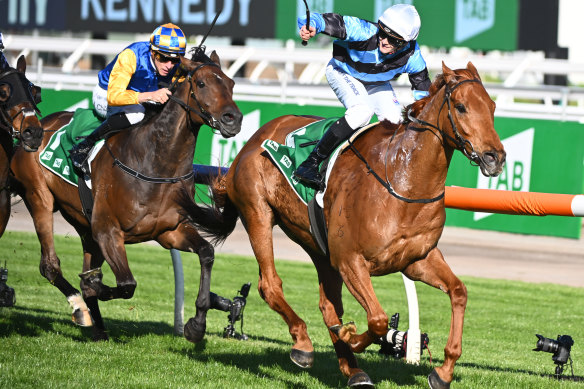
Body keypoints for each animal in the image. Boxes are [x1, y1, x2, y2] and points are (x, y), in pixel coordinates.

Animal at [9, 50, 242, 340]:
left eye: (231, 84)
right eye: (201, 84)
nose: (233, 119)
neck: (155, 164)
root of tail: (36, 126)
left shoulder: (169, 231)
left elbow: (206, 253)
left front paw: (196, 324)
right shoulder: (108, 230)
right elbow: (126, 284)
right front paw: (93, 286)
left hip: (85, 225)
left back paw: (97, 328)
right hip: (40, 197)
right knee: (49, 265)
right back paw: (81, 309)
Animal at [188, 62, 506, 386]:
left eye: (492, 107)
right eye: (461, 106)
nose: (495, 157)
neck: (402, 181)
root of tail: (253, 139)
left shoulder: (416, 260)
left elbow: (459, 292)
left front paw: (443, 371)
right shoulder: (350, 260)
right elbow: (377, 320)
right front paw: (352, 337)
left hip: (318, 245)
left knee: (328, 305)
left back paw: (353, 370)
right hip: (258, 213)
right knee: (271, 285)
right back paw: (303, 344)